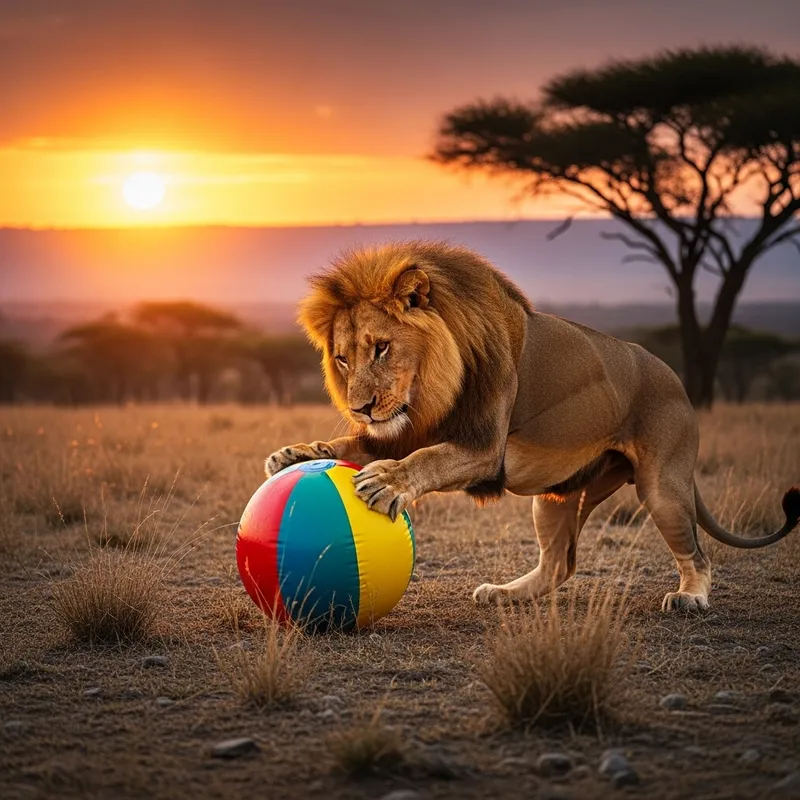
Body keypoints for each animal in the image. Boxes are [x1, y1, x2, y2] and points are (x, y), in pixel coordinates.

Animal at [265, 241, 799, 612]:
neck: (428, 395)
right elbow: (351, 445)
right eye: (341, 358)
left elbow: (427, 458)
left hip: (662, 487)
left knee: (698, 554)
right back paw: (504, 593)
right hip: (558, 496)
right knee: (559, 564)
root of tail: (677, 381)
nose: (362, 407)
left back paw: (690, 597)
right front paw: (297, 454)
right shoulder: (402, 430)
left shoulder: (482, 447)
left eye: (382, 348)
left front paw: (388, 482)